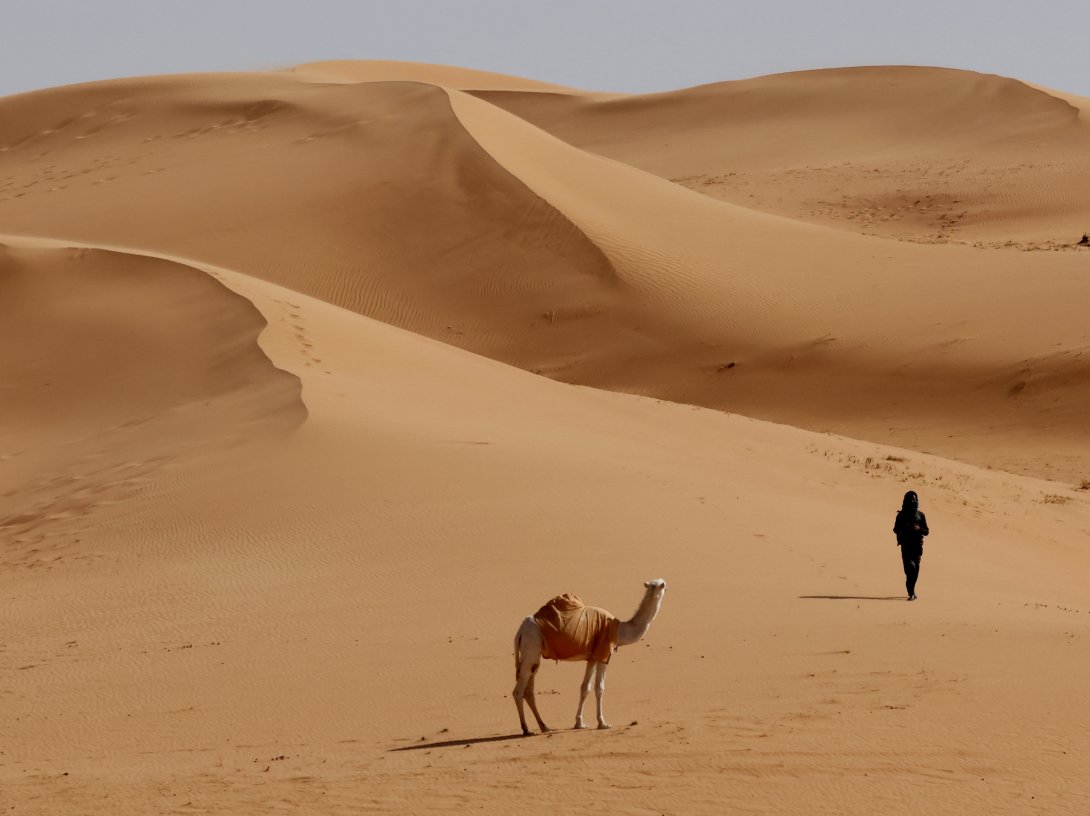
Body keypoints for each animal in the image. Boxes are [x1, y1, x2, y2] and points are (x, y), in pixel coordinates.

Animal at [512, 578, 667, 736]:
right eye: (664, 585)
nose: (666, 587)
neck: (619, 630)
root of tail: (520, 630)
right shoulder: (603, 654)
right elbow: (599, 688)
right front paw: (603, 723)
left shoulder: (592, 657)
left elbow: (585, 688)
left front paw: (580, 723)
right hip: (531, 646)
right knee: (518, 691)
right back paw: (526, 729)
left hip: (533, 655)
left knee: (529, 690)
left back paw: (544, 726)